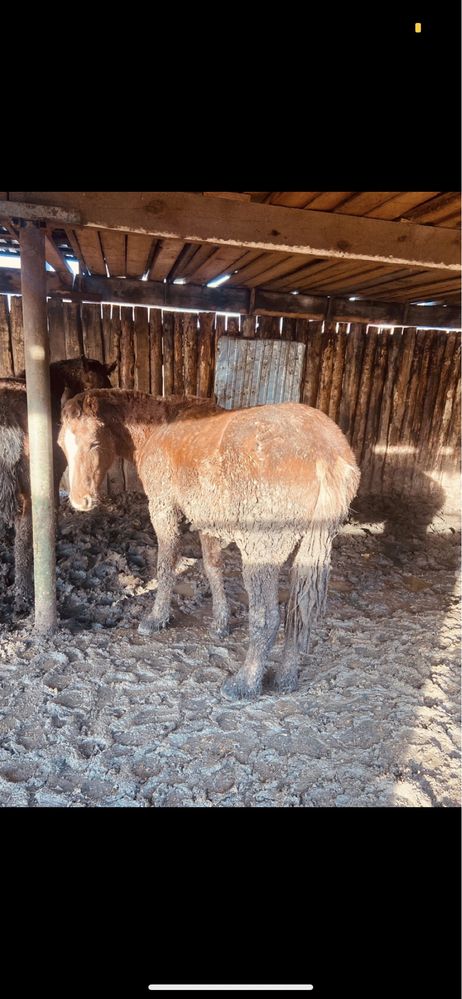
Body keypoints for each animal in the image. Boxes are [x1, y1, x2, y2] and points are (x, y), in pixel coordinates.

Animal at [58, 386, 360, 700]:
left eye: (94, 443)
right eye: (61, 445)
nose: (80, 501)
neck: (159, 427)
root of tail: (325, 453)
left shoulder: (164, 507)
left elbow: (166, 564)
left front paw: (157, 618)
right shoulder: (207, 519)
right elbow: (213, 568)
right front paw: (220, 623)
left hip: (262, 552)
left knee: (267, 618)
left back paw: (244, 683)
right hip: (313, 549)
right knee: (300, 611)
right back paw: (286, 678)